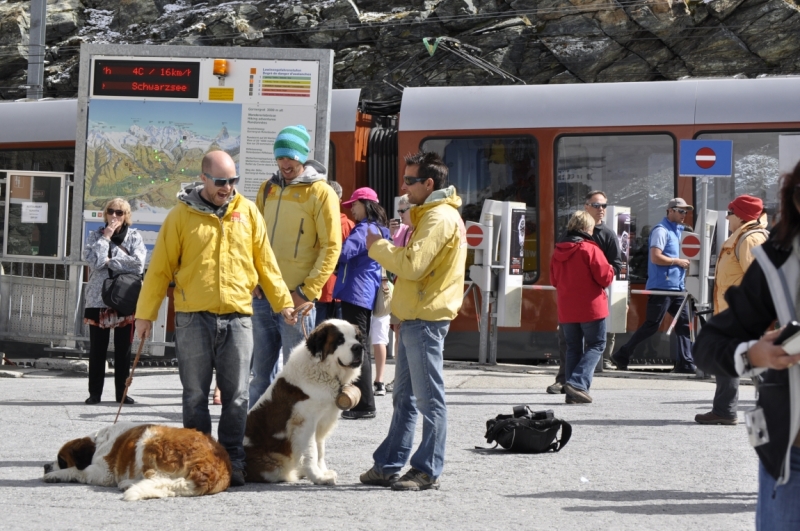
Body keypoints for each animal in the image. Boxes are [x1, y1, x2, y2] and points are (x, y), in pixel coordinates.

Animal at [43, 422, 231, 500]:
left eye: (61, 460)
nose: (45, 465)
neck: (98, 444)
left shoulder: (104, 473)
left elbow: (76, 470)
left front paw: (55, 474)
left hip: (148, 439)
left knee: (157, 478)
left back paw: (128, 484)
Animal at [245, 320, 364, 486]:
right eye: (340, 340)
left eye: (357, 338)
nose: (359, 347)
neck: (323, 370)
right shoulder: (305, 423)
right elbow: (311, 451)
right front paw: (318, 477)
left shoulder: (321, 422)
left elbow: (320, 450)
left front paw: (322, 472)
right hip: (273, 465)